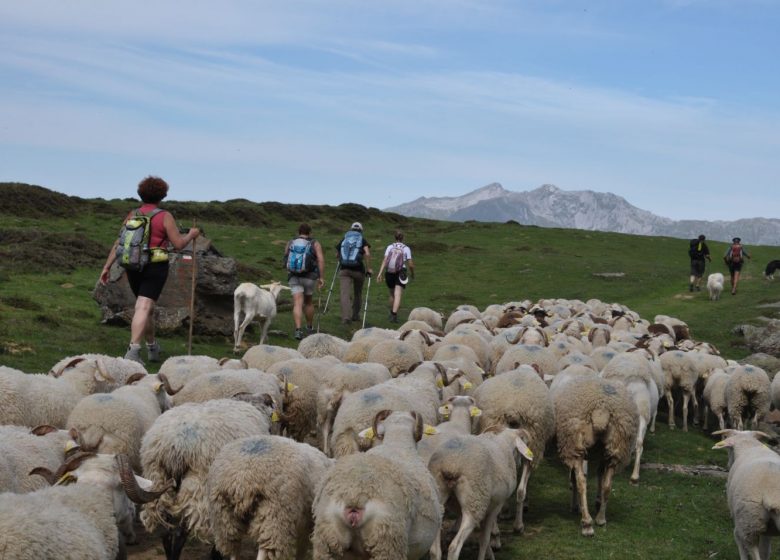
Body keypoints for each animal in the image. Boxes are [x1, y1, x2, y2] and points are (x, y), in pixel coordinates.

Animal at [426, 426, 536, 556]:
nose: (520, 463)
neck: (505, 444)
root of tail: (451, 464)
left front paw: (491, 554)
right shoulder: (496, 505)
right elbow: (484, 539)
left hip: (440, 501)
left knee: (435, 550)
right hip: (475, 503)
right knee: (454, 547)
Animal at [552, 374, 636, 536]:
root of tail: (601, 410)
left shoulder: (574, 450)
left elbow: (575, 478)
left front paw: (575, 506)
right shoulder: (602, 455)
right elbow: (600, 475)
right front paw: (597, 501)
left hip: (575, 445)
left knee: (581, 482)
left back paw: (586, 524)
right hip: (615, 449)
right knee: (608, 485)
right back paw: (601, 519)